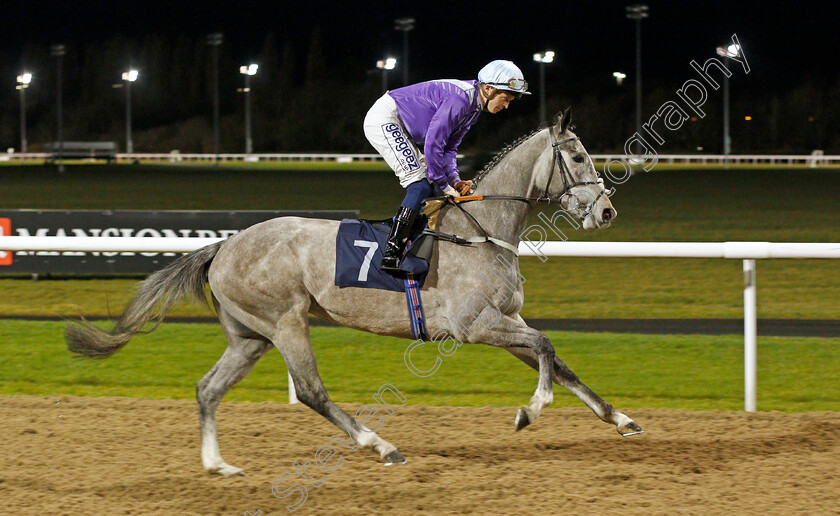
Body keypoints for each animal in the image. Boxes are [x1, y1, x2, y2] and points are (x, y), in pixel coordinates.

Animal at [67, 108, 644, 476]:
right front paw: (530, 411)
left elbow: (558, 360)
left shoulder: (505, 322)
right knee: (310, 391)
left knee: (209, 389)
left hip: (249, 337)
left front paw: (621, 419)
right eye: (578, 156)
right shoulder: (475, 325)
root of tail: (224, 245)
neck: (481, 229)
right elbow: (547, 347)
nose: (607, 211)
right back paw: (380, 445)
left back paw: (217, 464)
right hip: (285, 322)